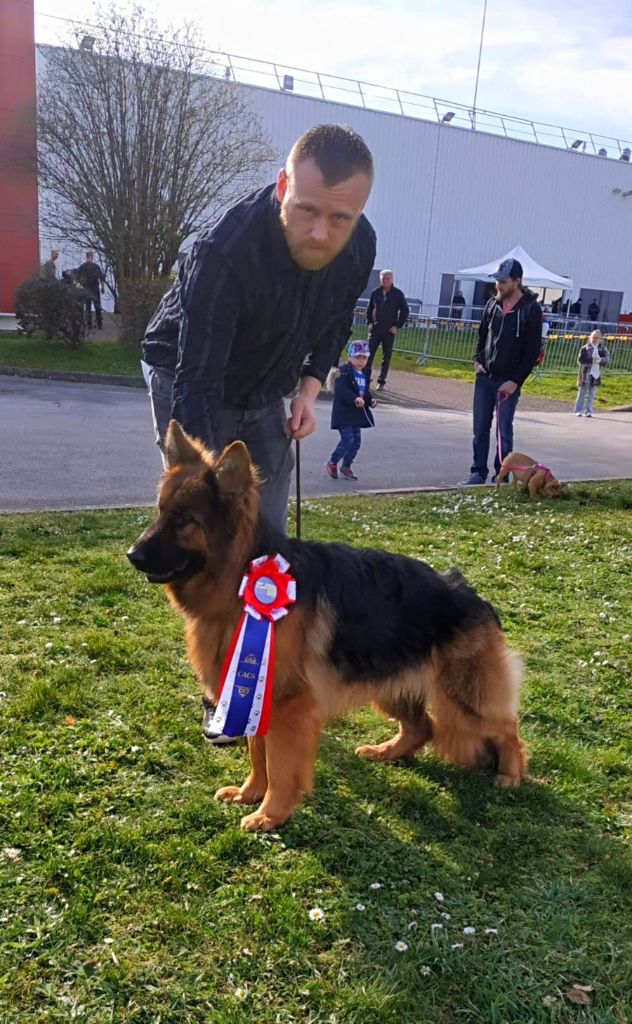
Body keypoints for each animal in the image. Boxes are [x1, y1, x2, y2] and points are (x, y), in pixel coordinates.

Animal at [128, 423, 528, 831]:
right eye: (160, 512)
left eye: (184, 520)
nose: (132, 555)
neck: (242, 578)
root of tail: (469, 593)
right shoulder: (253, 693)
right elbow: (257, 753)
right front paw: (249, 793)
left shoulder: (286, 704)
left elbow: (279, 764)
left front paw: (270, 812)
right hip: (390, 685)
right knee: (423, 727)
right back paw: (387, 752)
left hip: (463, 698)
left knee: (506, 728)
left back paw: (510, 774)